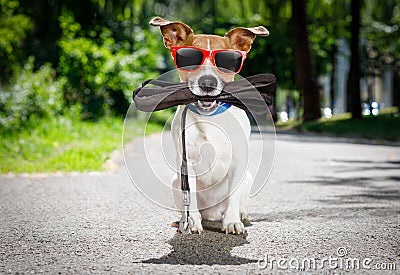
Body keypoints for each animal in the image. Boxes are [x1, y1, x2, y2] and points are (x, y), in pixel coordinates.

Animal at [150, 16, 268, 235]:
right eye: (189, 58)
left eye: (227, 61)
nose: (207, 83)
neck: (210, 118)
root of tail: (212, 214)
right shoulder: (187, 163)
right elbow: (191, 198)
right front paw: (192, 222)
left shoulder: (238, 162)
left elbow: (233, 198)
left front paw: (232, 222)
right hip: (175, 181)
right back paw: (183, 220)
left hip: (247, 178)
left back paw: (243, 216)